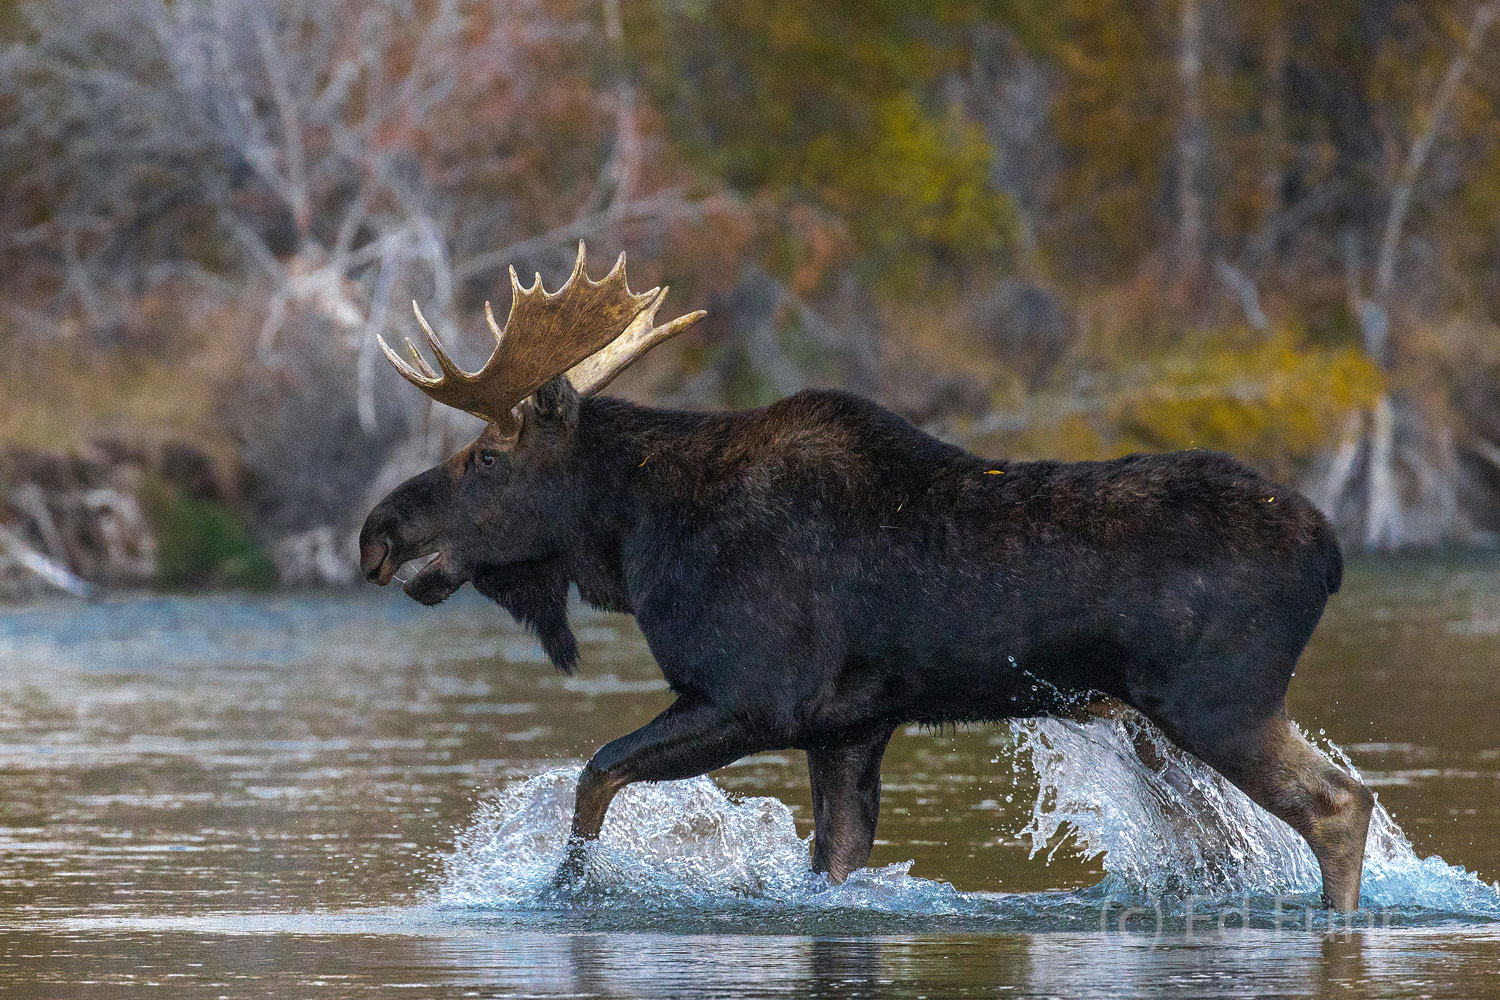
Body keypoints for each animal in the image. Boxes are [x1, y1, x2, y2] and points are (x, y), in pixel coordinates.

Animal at [360, 242, 1374, 905]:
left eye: (486, 458)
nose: (378, 534)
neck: (634, 533)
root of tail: (1331, 550)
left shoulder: (750, 696)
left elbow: (593, 776)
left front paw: (565, 891)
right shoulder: (846, 729)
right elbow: (834, 862)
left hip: (1218, 702)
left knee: (1338, 804)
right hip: (1164, 724)